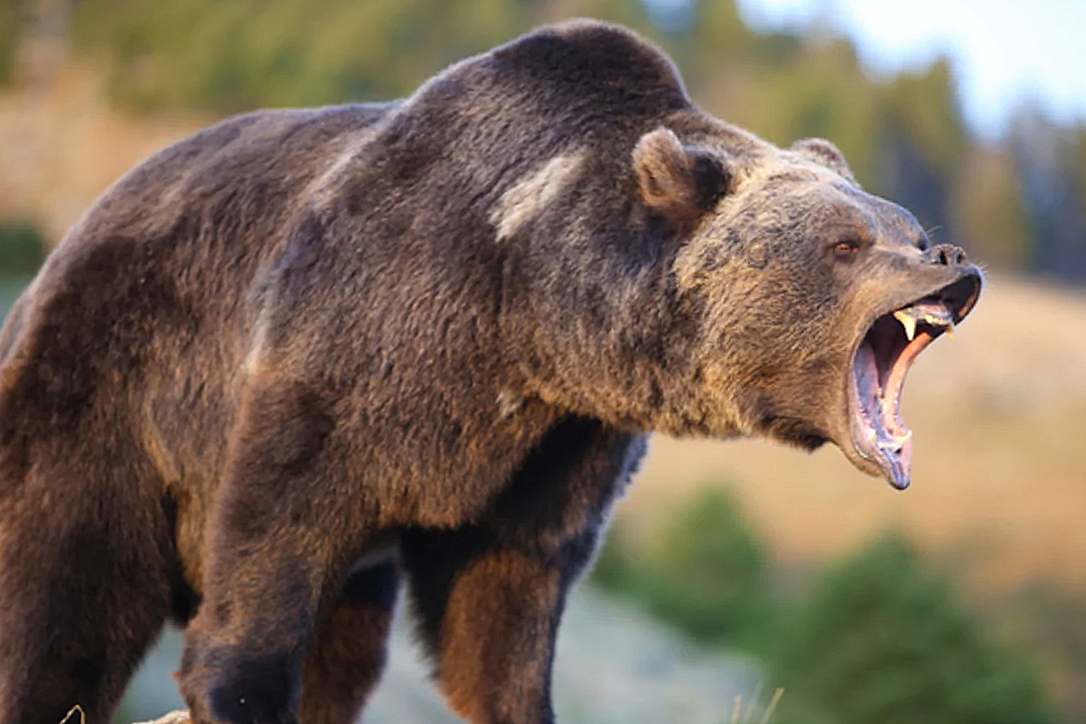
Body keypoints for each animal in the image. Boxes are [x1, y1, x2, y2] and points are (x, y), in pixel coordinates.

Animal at [0, 18, 981, 724]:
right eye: (846, 243)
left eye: (909, 228)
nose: (952, 264)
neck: (527, 314)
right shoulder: (352, 347)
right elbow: (277, 526)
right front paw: (233, 688)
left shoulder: (556, 446)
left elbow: (505, 606)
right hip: (103, 387)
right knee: (62, 599)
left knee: (348, 647)